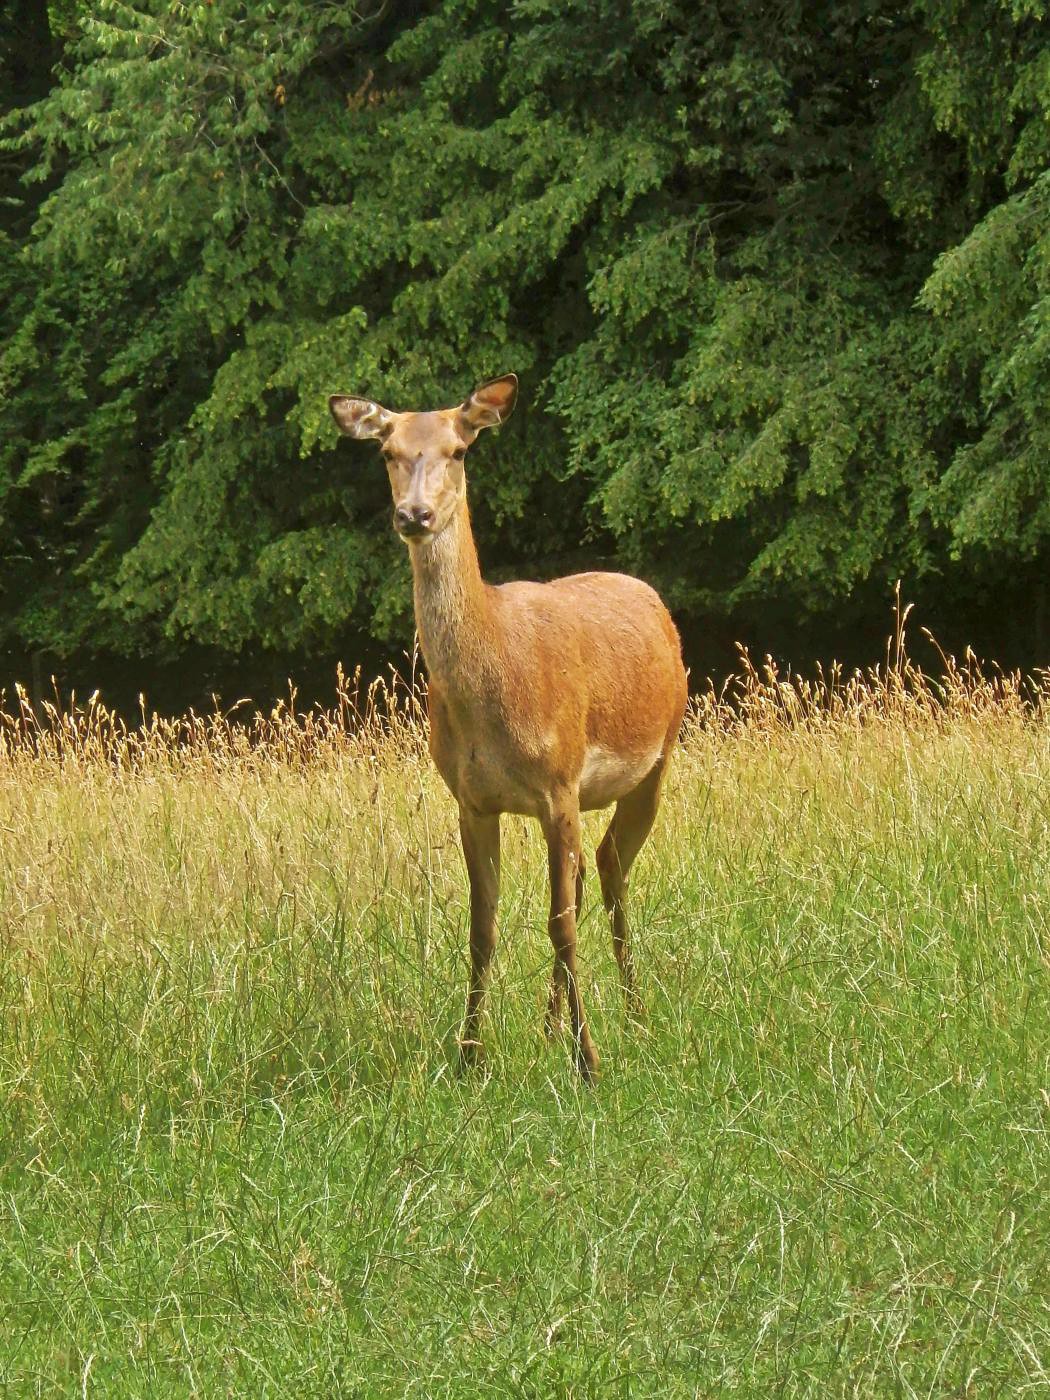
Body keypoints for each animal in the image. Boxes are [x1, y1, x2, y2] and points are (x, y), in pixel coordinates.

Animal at [330, 375, 691, 1080]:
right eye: (386, 451)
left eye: (458, 449)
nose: (414, 515)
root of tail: (653, 599)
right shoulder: (472, 800)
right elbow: (482, 928)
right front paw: (470, 1058)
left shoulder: (558, 782)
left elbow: (559, 924)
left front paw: (589, 1063)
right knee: (589, 871)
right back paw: (553, 1027)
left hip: (658, 758)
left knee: (610, 868)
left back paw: (633, 1015)